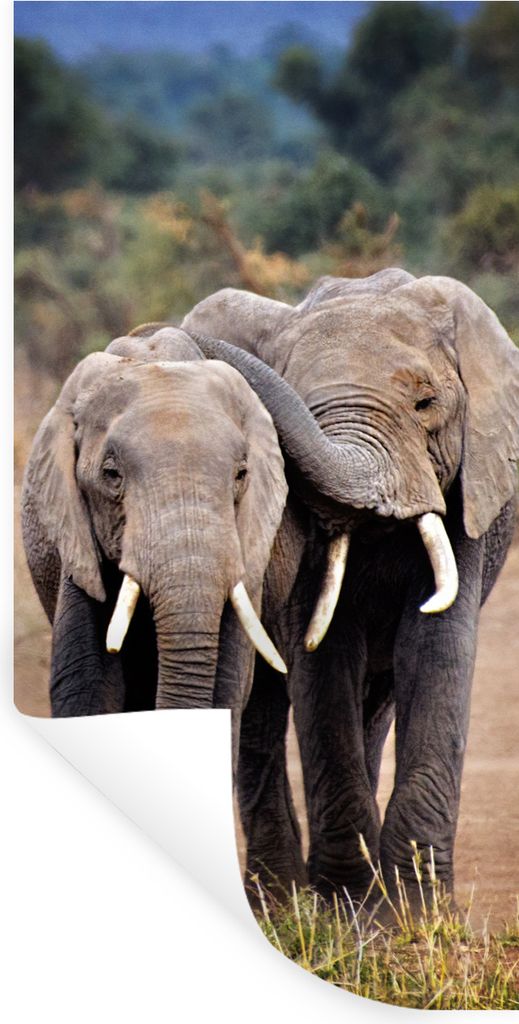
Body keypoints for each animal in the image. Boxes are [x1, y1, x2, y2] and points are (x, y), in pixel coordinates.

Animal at [181, 269, 519, 910]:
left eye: (425, 403)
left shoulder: (467, 493)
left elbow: (436, 650)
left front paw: (412, 913)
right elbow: (323, 658)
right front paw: (348, 909)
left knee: (376, 701)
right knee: (264, 710)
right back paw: (281, 901)